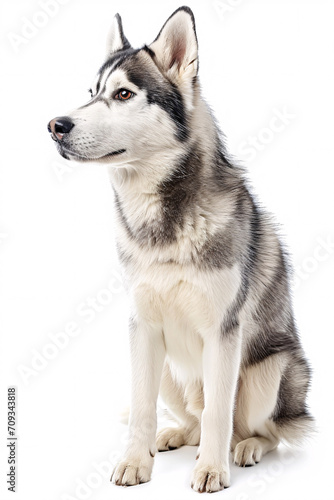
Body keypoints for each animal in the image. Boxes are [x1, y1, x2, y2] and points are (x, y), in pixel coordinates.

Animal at [47, 5, 314, 494]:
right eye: (92, 93)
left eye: (124, 93)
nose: (55, 125)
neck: (162, 224)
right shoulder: (142, 325)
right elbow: (142, 408)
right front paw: (136, 461)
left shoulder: (223, 332)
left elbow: (218, 413)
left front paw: (210, 469)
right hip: (171, 370)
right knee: (189, 417)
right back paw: (171, 436)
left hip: (269, 371)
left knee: (260, 430)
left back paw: (245, 449)